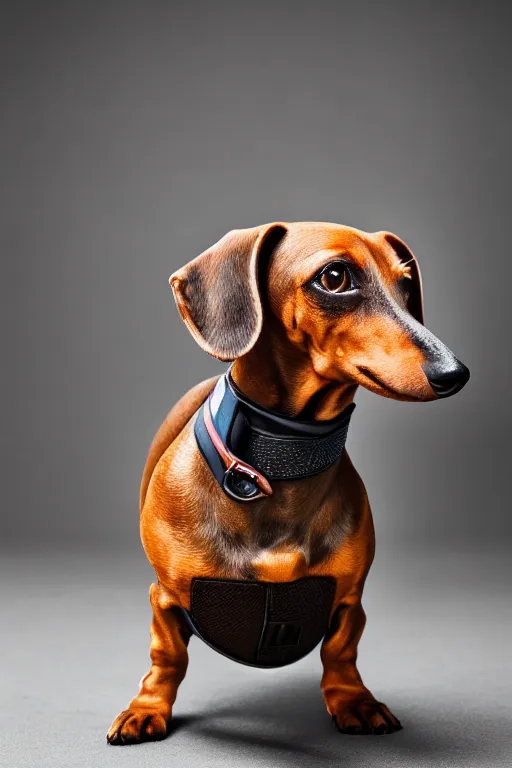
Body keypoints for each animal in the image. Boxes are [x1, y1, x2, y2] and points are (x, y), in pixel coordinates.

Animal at [107, 222, 468, 744]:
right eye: (334, 277)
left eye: (405, 285)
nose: (455, 372)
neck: (279, 466)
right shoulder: (165, 598)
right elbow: (167, 656)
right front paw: (146, 708)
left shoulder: (350, 600)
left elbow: (341, 652)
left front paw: (354, 702)